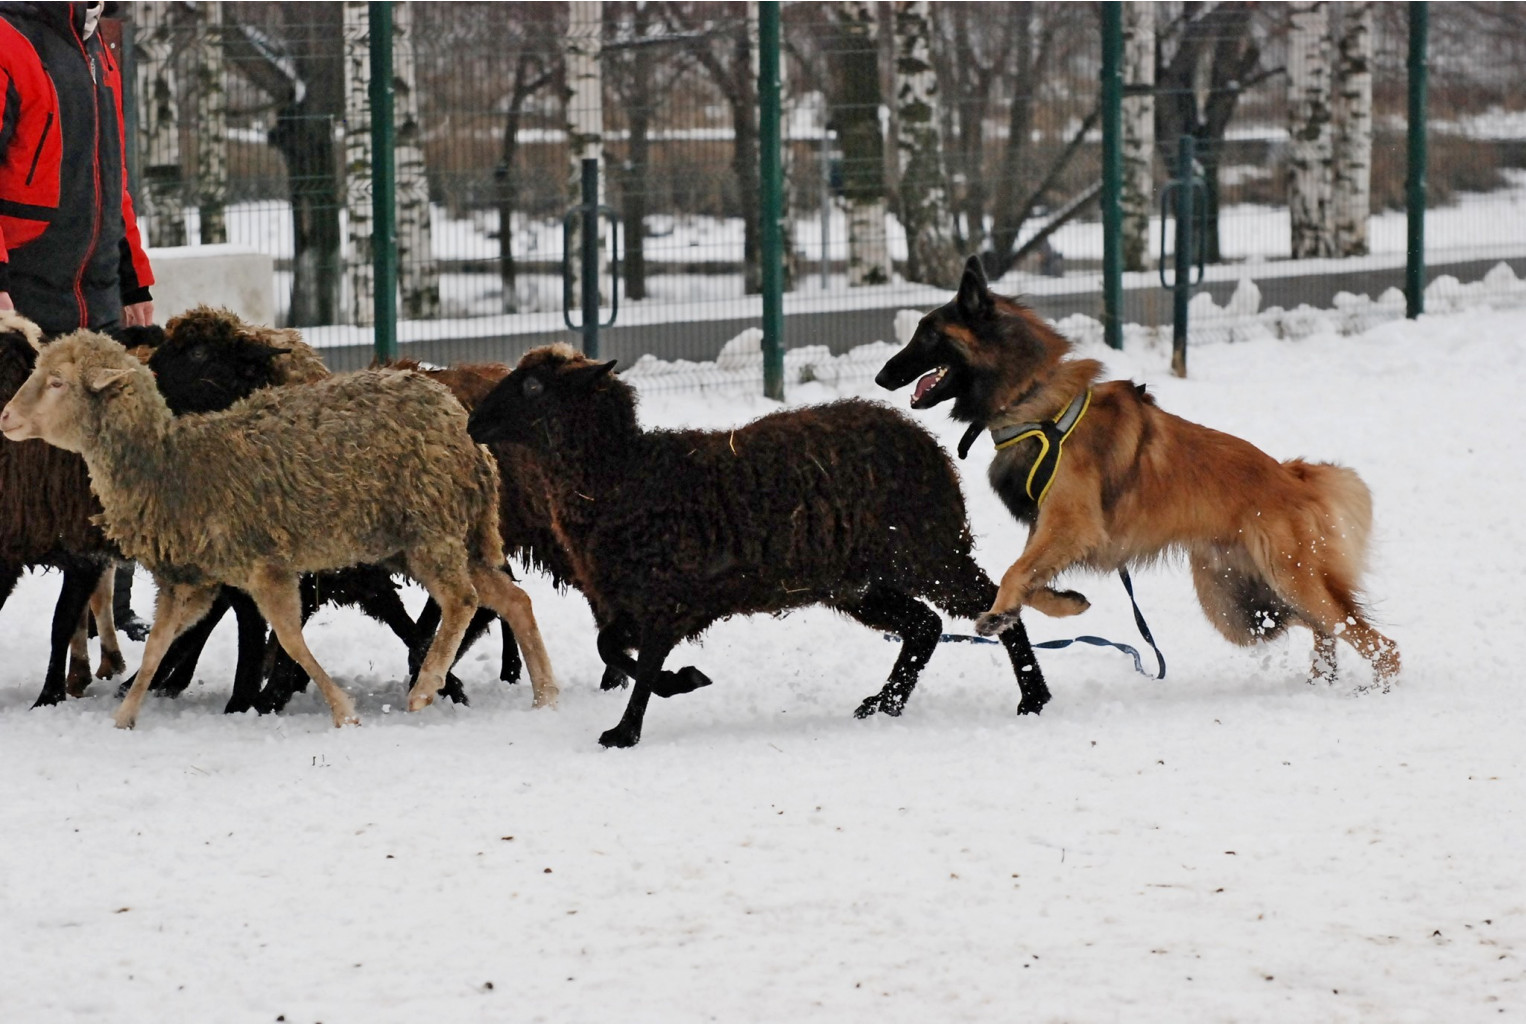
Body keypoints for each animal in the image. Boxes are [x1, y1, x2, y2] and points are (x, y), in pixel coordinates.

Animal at [0, 328, 561, 729]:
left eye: (57, 382)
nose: (5, 417)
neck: (172, 464)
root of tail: (464, 433)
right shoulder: (190, 578)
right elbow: (160, 641)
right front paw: (124, 715)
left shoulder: (263, 564)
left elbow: (288, 636)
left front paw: (340, 710)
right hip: (434, 536)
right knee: (513, 600)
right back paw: (544, 696)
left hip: (431, 529)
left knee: (464, 600)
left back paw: (426, 688)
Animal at [457, 340, 1043, 747]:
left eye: (534, 387)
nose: (473, 422)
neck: (625, 475)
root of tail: (930, 446)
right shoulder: (633, 601)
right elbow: (613, 651)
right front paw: (680, 682)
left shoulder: (669, 599)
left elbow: (641, 667)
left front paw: (628, 729)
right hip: (858, 584)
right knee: (925, 626)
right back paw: (884, 704)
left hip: (930, 555)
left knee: (992, 608)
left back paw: (1033, 698)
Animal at [878, 256, 1397, 689]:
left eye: (928, 334)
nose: (882, 377)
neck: (1035, 400)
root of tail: (1293, 477)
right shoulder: (1052, 530)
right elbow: (1027, 577)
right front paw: (1057, 604)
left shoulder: (1072, 524)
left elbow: (1013, 571)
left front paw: (1001, 611)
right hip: (1239, 605)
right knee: (1322, 628)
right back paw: (1321, 683)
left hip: (1287, 582)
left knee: (1370, 638)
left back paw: (1377, 687)